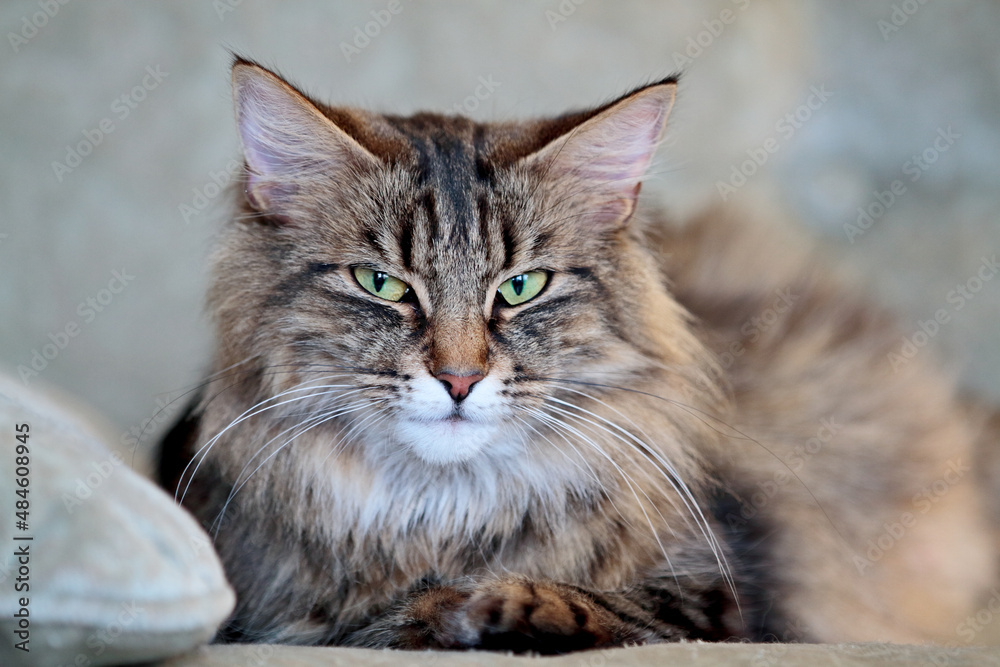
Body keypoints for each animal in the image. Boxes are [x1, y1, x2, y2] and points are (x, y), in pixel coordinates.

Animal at [156, 57, 1000, 652]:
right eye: (381, 283)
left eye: (522, 286)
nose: (458, 377)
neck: (446, 512)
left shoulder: (731, 588)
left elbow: (596, 601)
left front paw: (492, 604)